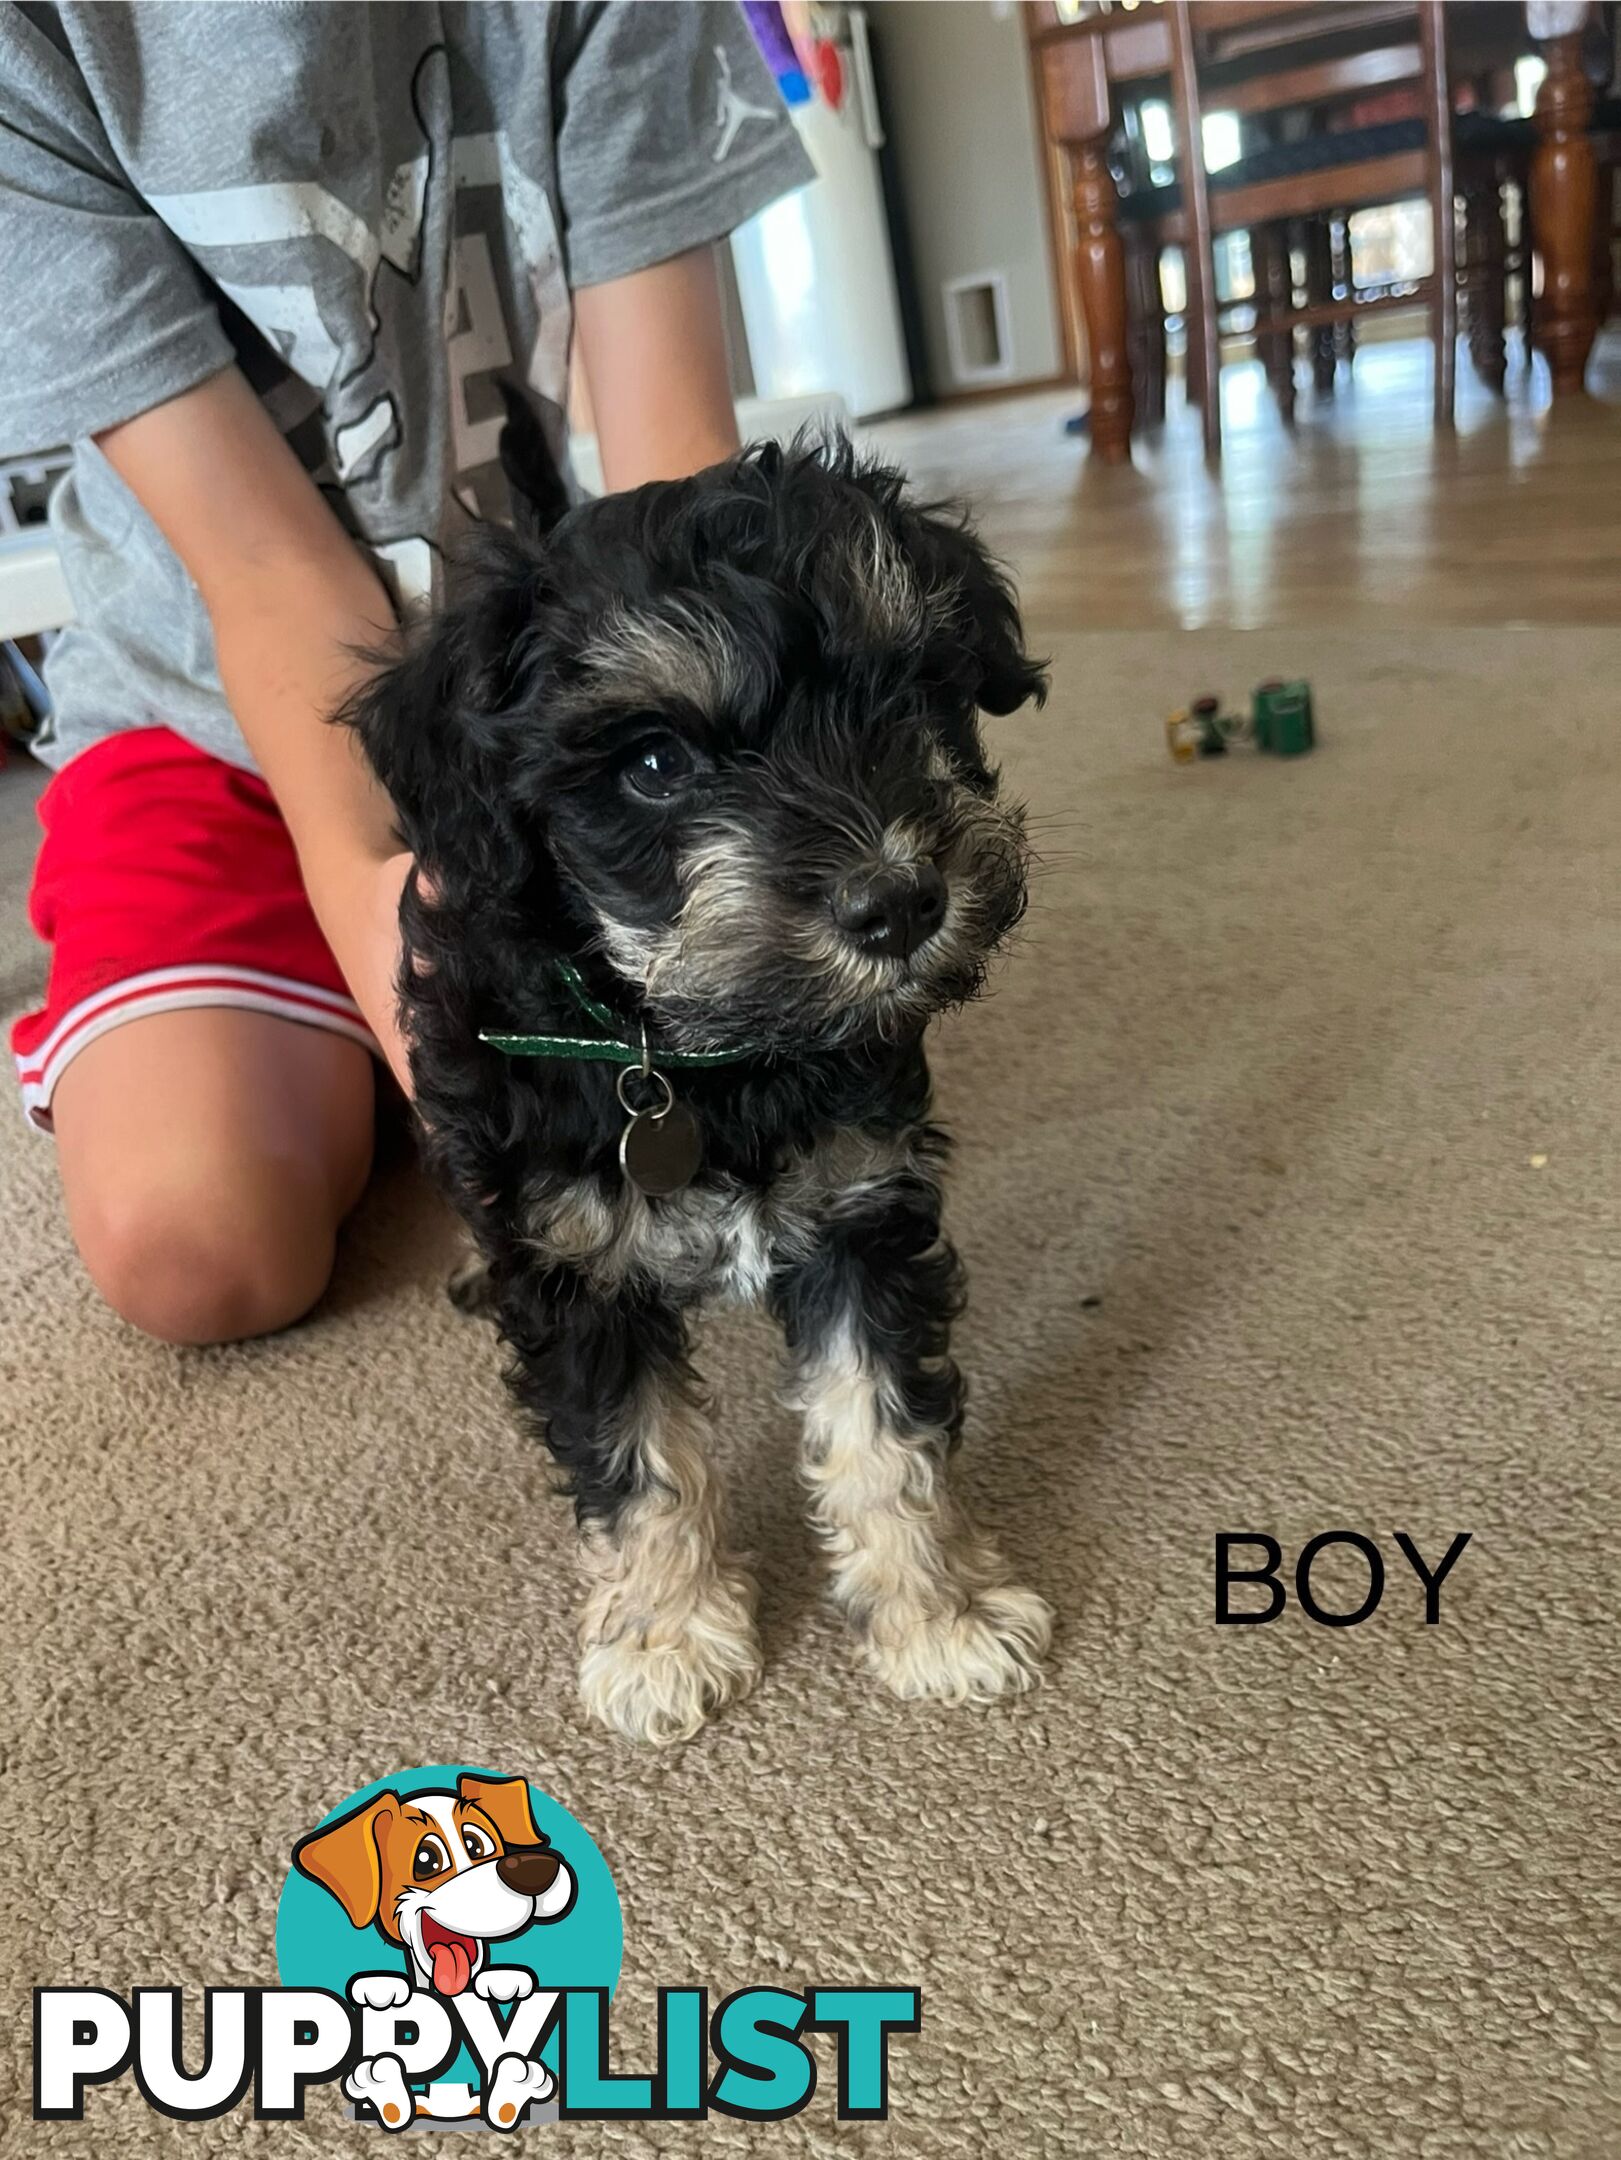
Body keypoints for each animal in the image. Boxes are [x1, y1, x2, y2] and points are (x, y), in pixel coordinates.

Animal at [343, 429, 1054, 1745]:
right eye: (655, 762)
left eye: (907, 689)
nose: (898, 903)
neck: (691, 1055)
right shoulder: (576, 1274)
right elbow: (637, 1463)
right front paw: (665, 1637)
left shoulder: (860, 1215)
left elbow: (884, 1429)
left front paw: (937, 1613)